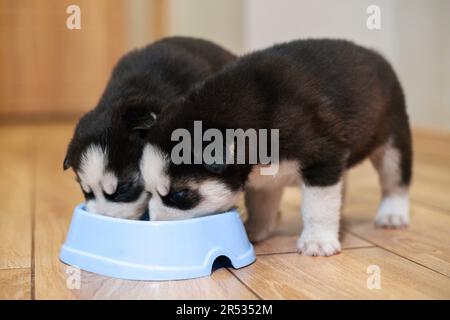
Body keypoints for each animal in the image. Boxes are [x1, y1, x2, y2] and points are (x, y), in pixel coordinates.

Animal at [140, 39, 412, 258]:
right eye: (149, 192)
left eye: (179, 195)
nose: (153, 222)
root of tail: (373, 53)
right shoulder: (264, 178)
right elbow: (261, 205)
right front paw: (254, 229)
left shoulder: (322, 162)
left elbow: (318, 207)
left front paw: (317, 240)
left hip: (393, 138)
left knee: (395, 180)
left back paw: (392, 214)